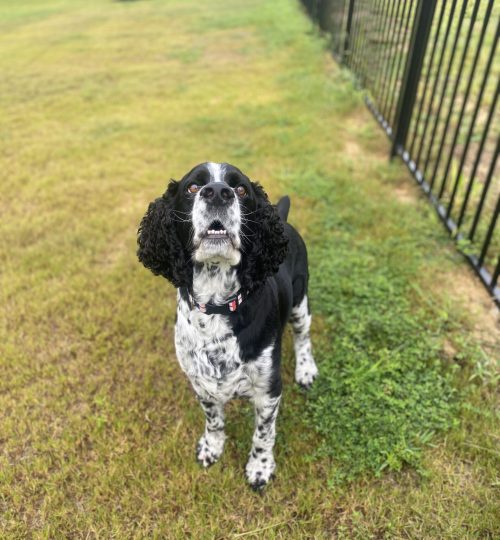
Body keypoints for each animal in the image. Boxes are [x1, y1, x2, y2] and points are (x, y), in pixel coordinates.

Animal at [137, 161, 316, 490]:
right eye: (193, 187)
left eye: (241, 189)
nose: (219, 192)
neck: (216, 306)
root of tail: (282, 218)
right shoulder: (201, 384)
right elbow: (214, 421)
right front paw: (212, 448)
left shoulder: (269, 390)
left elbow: (263, 435)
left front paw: (259, 469)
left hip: (300, 302)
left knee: (303, 336)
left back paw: (306, 370)